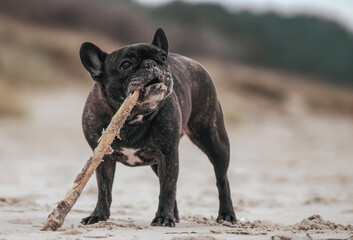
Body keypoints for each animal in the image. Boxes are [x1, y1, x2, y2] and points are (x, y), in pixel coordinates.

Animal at [78, 28, 235, 227]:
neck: (131, 117)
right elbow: (104, 189)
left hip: (214, 141)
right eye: (125, 65)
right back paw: (174, 215)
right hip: (156, 162)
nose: (151, 63)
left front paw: (163, 218)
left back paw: (226, 215)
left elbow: (167, 188)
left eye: (162, 57)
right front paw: (98, 216)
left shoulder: (169, 154)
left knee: (222, 180)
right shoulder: (103, 159)